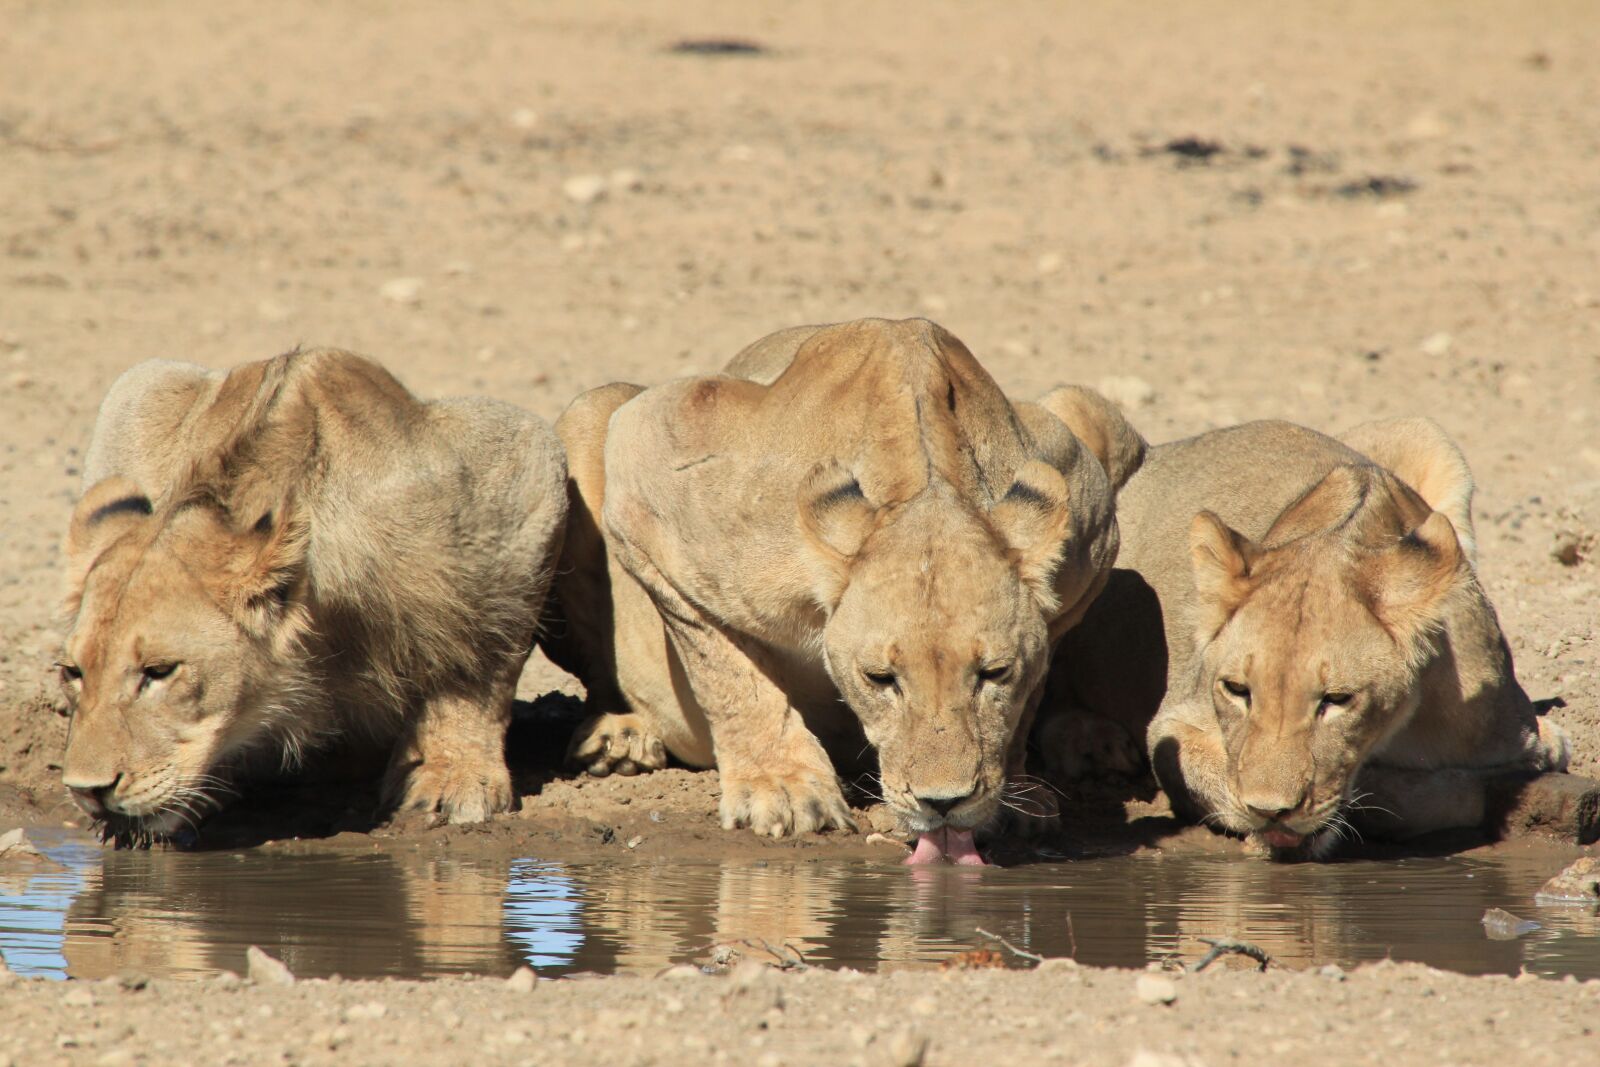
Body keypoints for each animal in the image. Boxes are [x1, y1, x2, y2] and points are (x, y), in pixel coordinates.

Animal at [57, 348, 568, 845]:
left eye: (160, 671)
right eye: (73, 673)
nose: (86, 791)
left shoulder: (524, 465)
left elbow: (478, 665)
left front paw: (451, 776)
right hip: (139, 386)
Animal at [538, 318, 1144, 861]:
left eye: (994, 673)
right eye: (879, 679)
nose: (944, 804)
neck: (925, 482)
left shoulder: (1094, 526)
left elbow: (1032, 691)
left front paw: (1012, 801)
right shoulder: (651, 469)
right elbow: (728, 674)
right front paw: (783, 791)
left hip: (1093, 413)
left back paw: (1093, 742)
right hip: (590, 414)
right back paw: (621, 737)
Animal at [1042, 417, 1569, 858]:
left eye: (1337, 700)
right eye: (1237, 690)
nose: (1271, 811)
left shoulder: (1513, 733)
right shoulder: (1174, 724)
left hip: (1424, 433)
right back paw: (1091, 742)